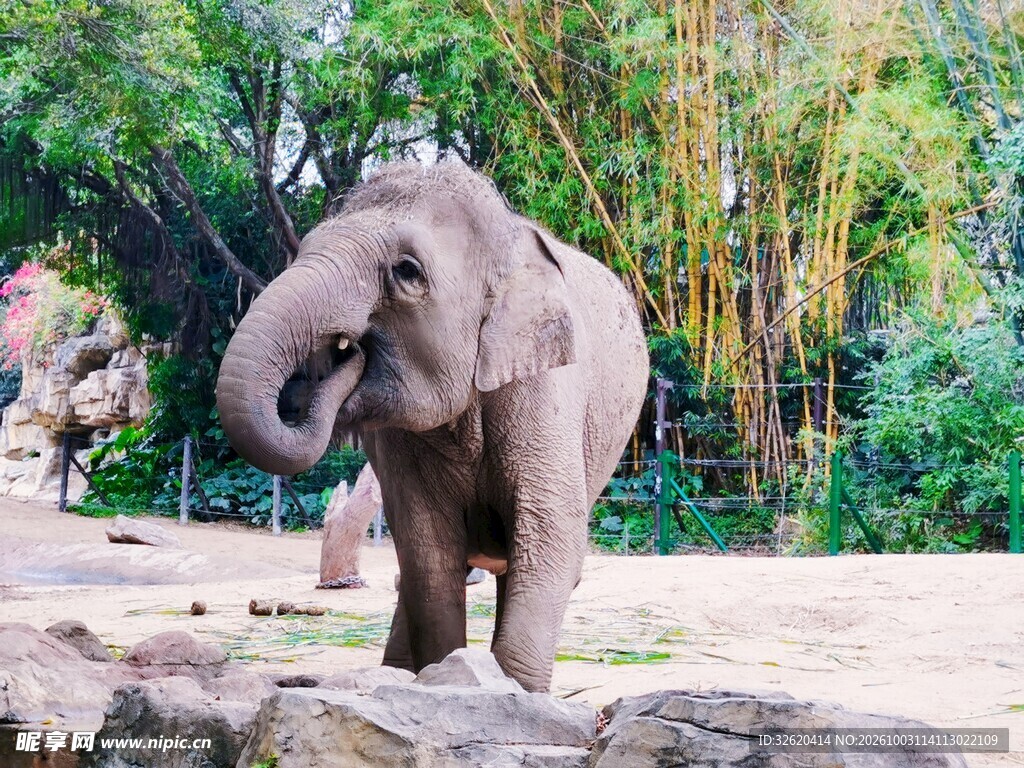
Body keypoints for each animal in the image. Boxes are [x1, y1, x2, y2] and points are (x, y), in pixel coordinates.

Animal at [216, 161, 648, 692]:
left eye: (406, 271)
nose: (347, 352)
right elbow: (427, 553)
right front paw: (448, 679)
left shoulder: (546, 390)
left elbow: (549, 541)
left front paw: (513, 692)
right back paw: (393, 673)